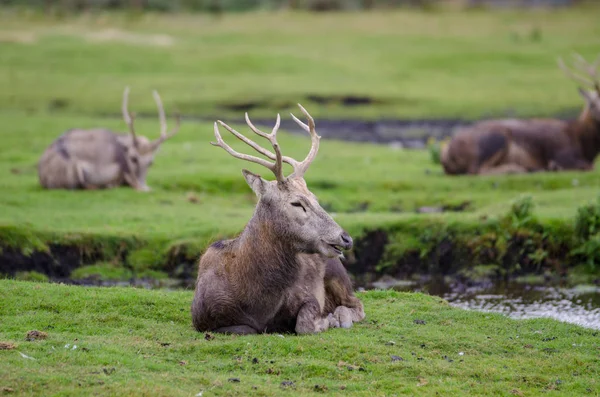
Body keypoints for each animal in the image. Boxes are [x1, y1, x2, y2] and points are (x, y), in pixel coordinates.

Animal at [36, 86, 178, 192]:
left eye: (151, 162)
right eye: (134, 158)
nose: (144, 188)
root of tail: (42, 176)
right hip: (74, 171)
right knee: (84, 186)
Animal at [191, 104, 366, 334]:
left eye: (315, 198)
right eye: (297, 203)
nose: (346, 238)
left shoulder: (308, 295)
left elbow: (304, 322)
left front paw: (326, 320)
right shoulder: (201, 317)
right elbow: (244, 328)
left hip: (337, 273)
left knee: (357, 304)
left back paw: (340, 316)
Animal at [440, 53, 600, 175]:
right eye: (592, 104)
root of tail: (446, 153)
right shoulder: (562, 153)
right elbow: (588, 167)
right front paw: (553, 167)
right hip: (496, 139)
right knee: (477, 170)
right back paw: (518, 169)